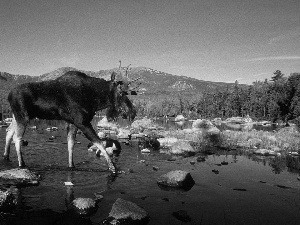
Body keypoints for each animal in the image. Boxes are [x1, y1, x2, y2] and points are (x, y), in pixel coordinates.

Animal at [2, 71, 137, 173]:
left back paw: (6, 156)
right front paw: (112, 167)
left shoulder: (73, 122)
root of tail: (8, 96)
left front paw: (71, 165)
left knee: (8, 132)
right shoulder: (82, 122)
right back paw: (21, 164)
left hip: (16, 116)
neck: (94, 99)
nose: (132, 112)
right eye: (121, 92)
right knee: (17, 138)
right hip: (23, 116)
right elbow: (99, 143)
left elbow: (71, 144)